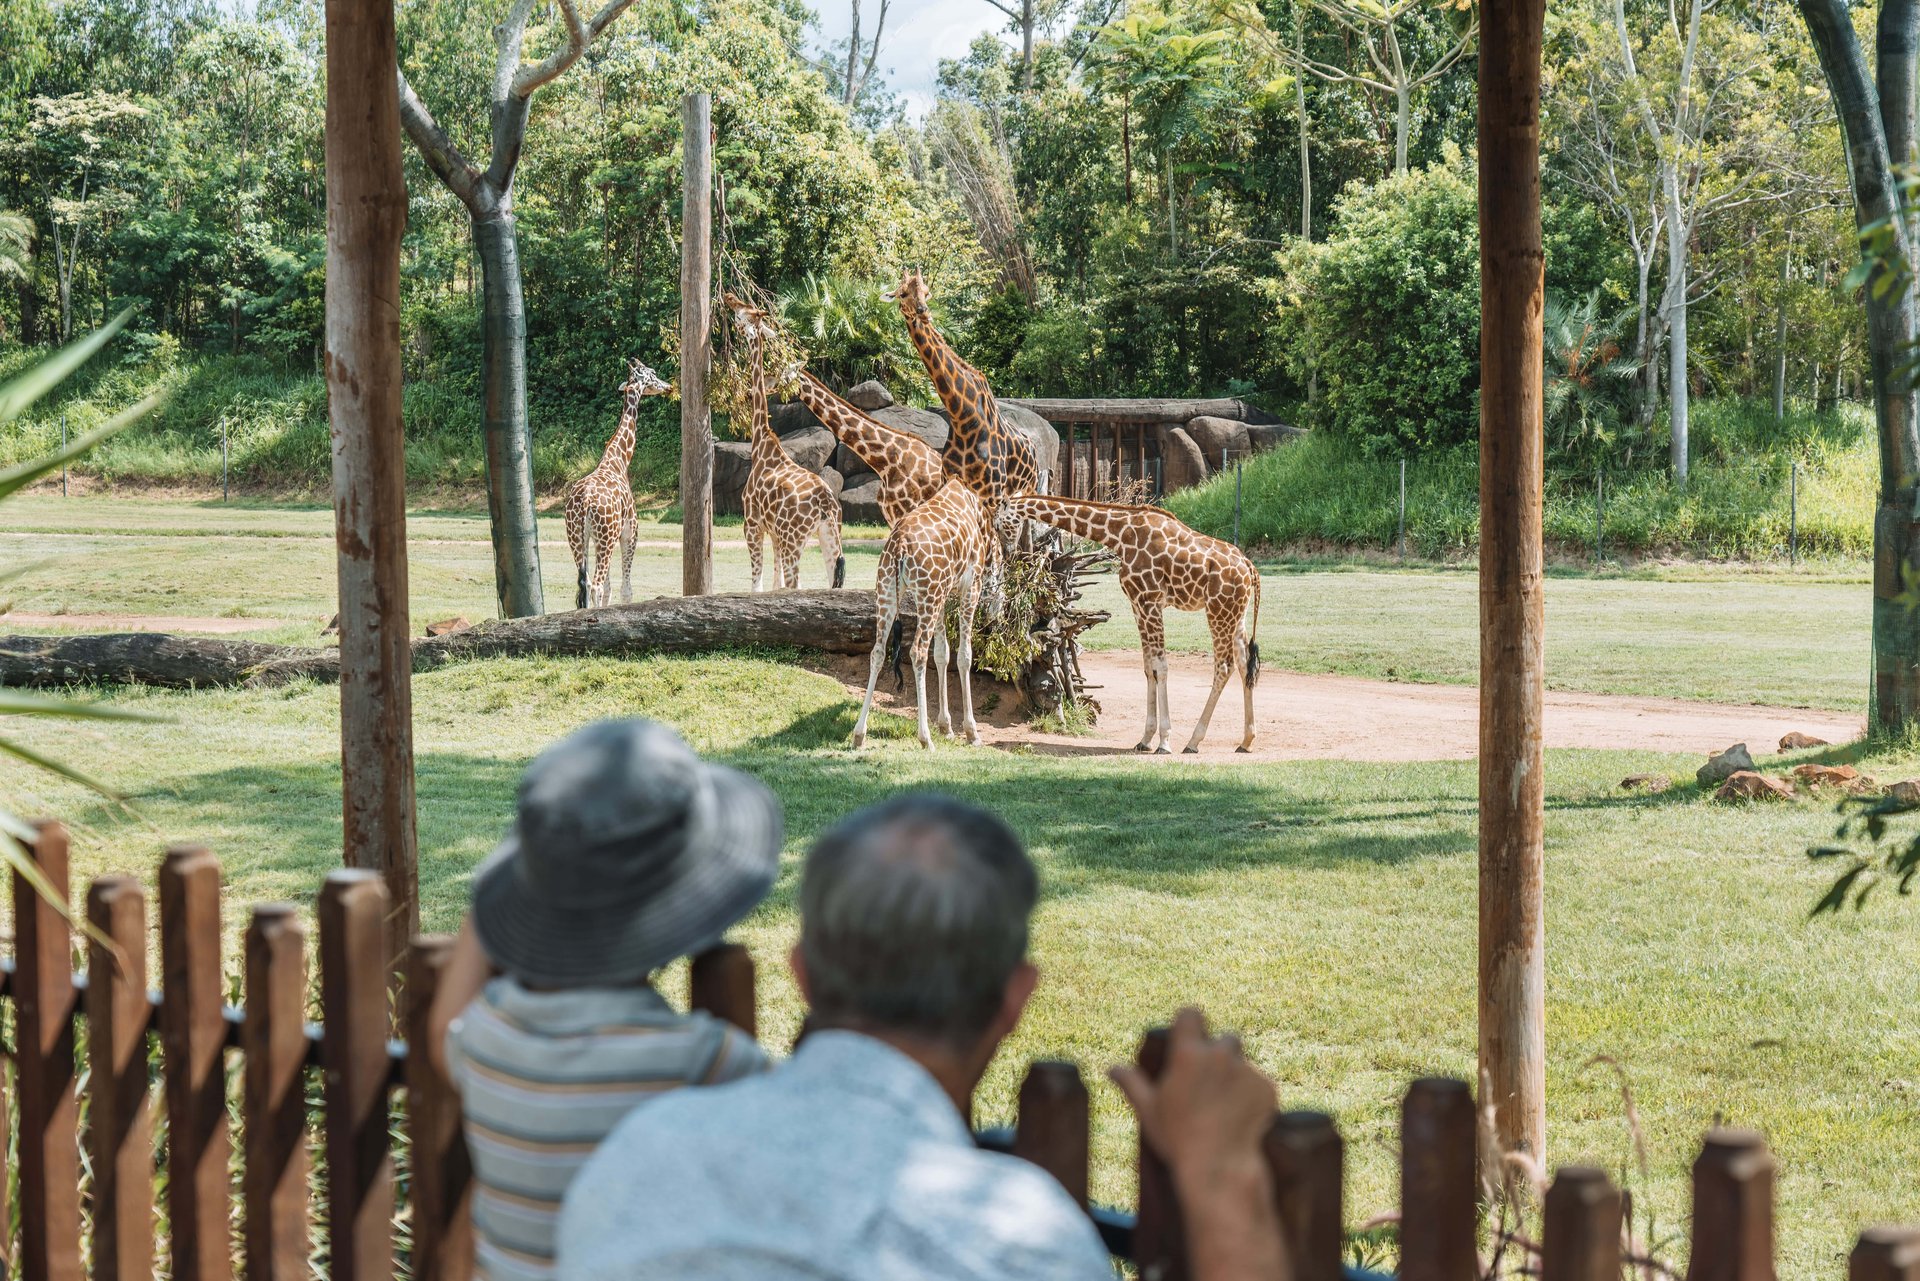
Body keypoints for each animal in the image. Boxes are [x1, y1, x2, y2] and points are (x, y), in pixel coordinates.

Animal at [565, 358, 673, 610]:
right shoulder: (629, 532)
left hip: (577, 537)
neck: (619, 461)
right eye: (653, 373)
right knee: (594, 585)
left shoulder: (600, 538)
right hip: (605, 537)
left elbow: (609, 589)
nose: (669, 386)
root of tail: (585, 502)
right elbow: (625, 590)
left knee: (585, 585)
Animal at [727, 293, 844, 591]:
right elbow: (774, 585)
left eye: (744, 310)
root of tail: (827, 506)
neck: (761, 444)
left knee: (796, 585)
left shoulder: (752, 523)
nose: (729, 297)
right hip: (828, 536)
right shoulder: (774, 534)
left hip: (795, 538)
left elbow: (757, 586)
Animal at [850, 478, 1000, 751]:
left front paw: (946, 727)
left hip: (888, 591)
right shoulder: (969, 587)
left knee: (877, 652)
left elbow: (942, 653)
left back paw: (859, 735)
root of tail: (899, 547)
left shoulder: (943, 594)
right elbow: (964, 655)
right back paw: (925, 738)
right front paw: (971, 732)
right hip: (927, 595)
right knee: (917, 652)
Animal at [1001, 495, 1262, 755]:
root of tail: (1251, 568)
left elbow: (1161, 667)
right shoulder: (1137, 605)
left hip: (1218, 610)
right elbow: (1149, 668)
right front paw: (1145, 739)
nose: (1009, 553)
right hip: (1236, 614)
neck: (1120, 534)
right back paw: (1246, 741)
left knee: (1224, 667)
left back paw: (1193, 741)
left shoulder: (1150, 602)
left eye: (1000, 522)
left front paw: (1164, 742)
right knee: (1244, 663)